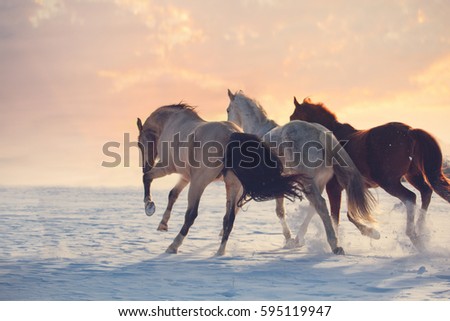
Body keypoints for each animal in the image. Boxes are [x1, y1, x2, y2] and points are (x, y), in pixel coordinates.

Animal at [135, 102, 302, 255]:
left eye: (139, 143)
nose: (145, 165)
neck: (171, 123)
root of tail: (232, 134)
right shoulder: (186, 176)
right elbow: (173, 194)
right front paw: (163, 224)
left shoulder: (169, 168)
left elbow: (147, 178)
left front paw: (149, 206)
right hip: (232, 185)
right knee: (229, 218)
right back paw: (220, 252)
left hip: (199, 183)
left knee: (191, 215)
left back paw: (173, 246)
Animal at [225, 90, 376, 255]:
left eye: (228, 110)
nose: (229, 125)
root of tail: (319, 134)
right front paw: (292, 241)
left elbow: (279, 211)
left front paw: (288, 239)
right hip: (318, 182)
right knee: (314, 207)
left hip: (309, 182)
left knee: (320, 205)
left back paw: (334, 245)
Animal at [290, 97, 448, 250]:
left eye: (293, 117)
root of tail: (409, 131)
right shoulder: (348, 188)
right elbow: (343, 214)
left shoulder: (333, 188)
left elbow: (336, 215)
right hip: (412, 176)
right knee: (426, 192)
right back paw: (421, 232)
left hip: (389, 182)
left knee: (411, 197)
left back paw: (413, 236)